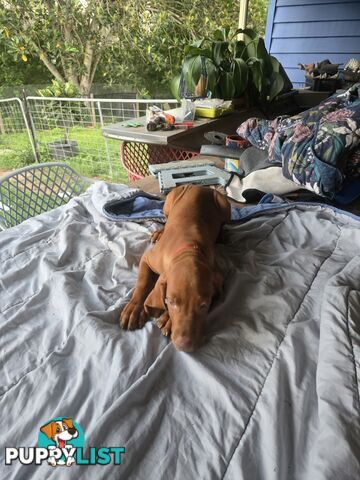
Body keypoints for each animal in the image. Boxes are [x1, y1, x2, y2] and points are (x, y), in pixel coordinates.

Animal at [119, 184, 229, 352]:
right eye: (170, 301)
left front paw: (167, 320)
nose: (184, 345)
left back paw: (222, 234)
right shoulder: (147, 259)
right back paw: (159, 232)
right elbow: (143, 284)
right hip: (169, 203)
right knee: (165, 219)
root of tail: (199, 185)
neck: (188, 250)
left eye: (204, 305)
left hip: (224, 204)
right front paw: (134, 308)